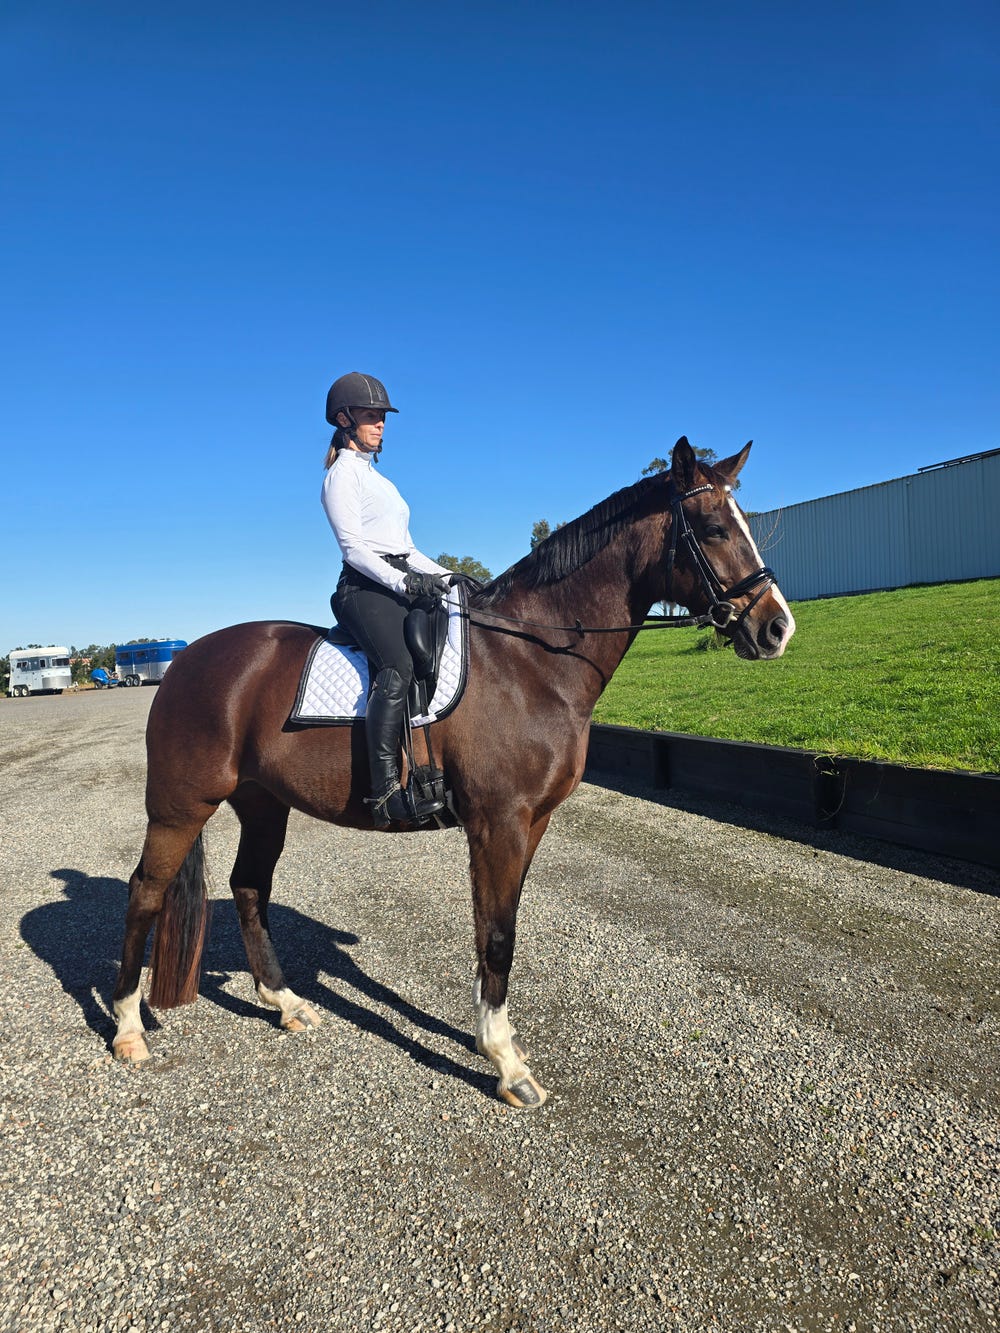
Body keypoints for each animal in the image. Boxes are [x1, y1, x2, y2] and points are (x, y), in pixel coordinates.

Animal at [111, 437, 795, 1107]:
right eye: (712, 528)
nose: (777, 628)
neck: (530, 659)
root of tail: (184, 661)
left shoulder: (530, 824)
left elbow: (499, 928)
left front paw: (491, 1039)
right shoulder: (499, 823)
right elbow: (496, 935)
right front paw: (506, 1064)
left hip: (262, 803)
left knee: (250, 887)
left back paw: (286, 1004)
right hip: (180, 807)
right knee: (145, 890)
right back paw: (127, 1028)